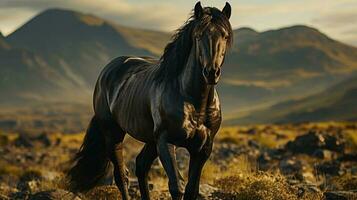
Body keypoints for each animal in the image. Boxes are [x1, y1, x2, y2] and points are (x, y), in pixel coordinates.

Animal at [67, 1, 232, 200]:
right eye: (199, 36)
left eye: (224, 35)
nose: (211, 72)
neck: (193, 101)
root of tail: (107, 71)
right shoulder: (166, 142)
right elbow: (176, 186)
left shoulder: (202, 149)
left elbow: (191, 190)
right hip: (114, 134)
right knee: (121, 175)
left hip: (151, 140)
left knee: (141, 166)